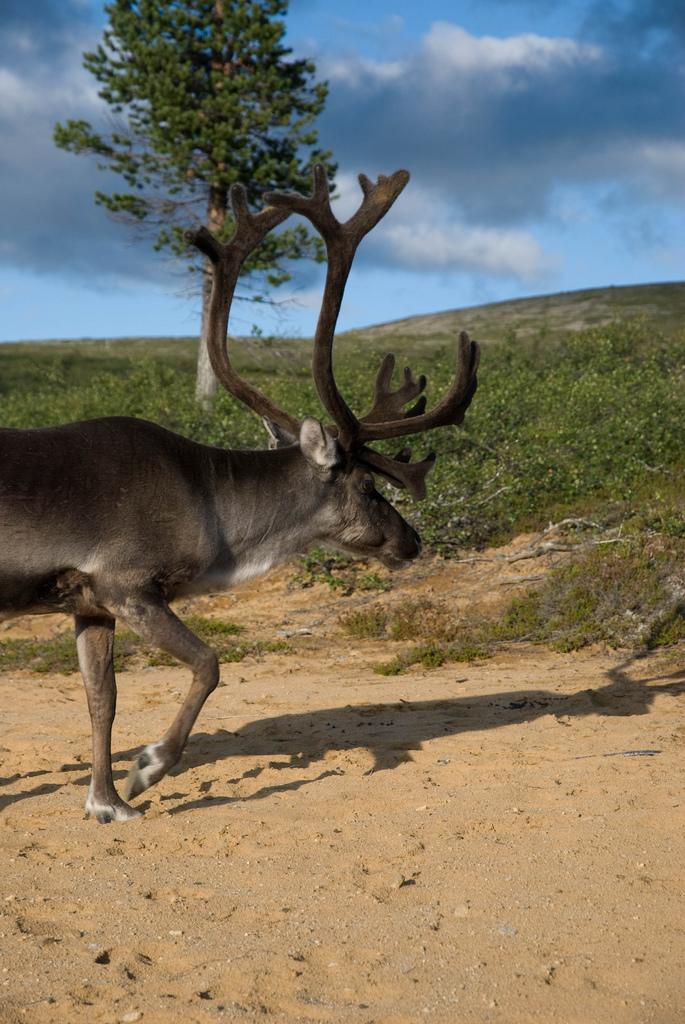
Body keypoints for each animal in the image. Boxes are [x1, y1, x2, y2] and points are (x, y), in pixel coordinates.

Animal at [0, 166, 479, 823]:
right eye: (368, 486)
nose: (412, 541)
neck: (214, 514)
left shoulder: (89, 603)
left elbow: (103, 699)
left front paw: (105, 802)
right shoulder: (129, 585)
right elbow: (209, 664)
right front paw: (147, 770)